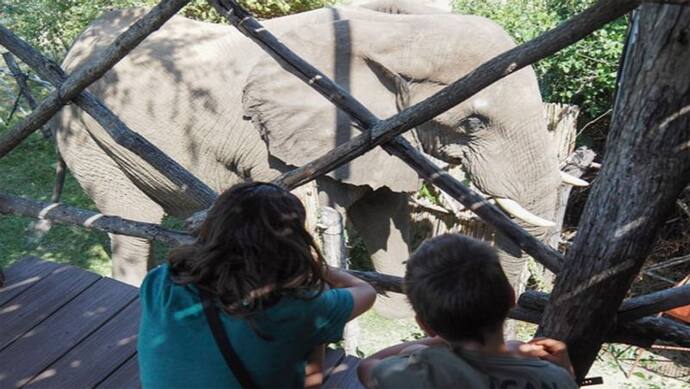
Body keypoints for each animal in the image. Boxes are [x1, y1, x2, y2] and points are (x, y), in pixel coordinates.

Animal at [52, 0, 568, 316]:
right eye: (475, 123)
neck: (399, 31)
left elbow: (384, 213)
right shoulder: (278, 143)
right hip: (82, 131)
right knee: (131, 218)